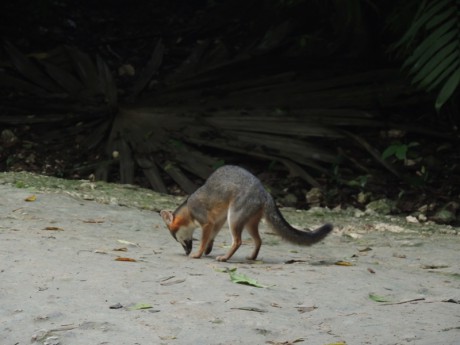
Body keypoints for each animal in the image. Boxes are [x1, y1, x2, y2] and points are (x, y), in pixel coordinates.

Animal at [160, 165, 332, 260]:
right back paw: (252, 257)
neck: (188, 209)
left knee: (238, 241)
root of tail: (264, 192)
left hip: (234, 219)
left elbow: (203, 240)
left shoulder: (207, 221)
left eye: (178, 239)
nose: (186, 252)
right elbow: (211, 236)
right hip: (247, 223)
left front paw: (198, 253)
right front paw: (208, 248)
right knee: (259, 241)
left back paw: (225, 258)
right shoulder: (218, 220)